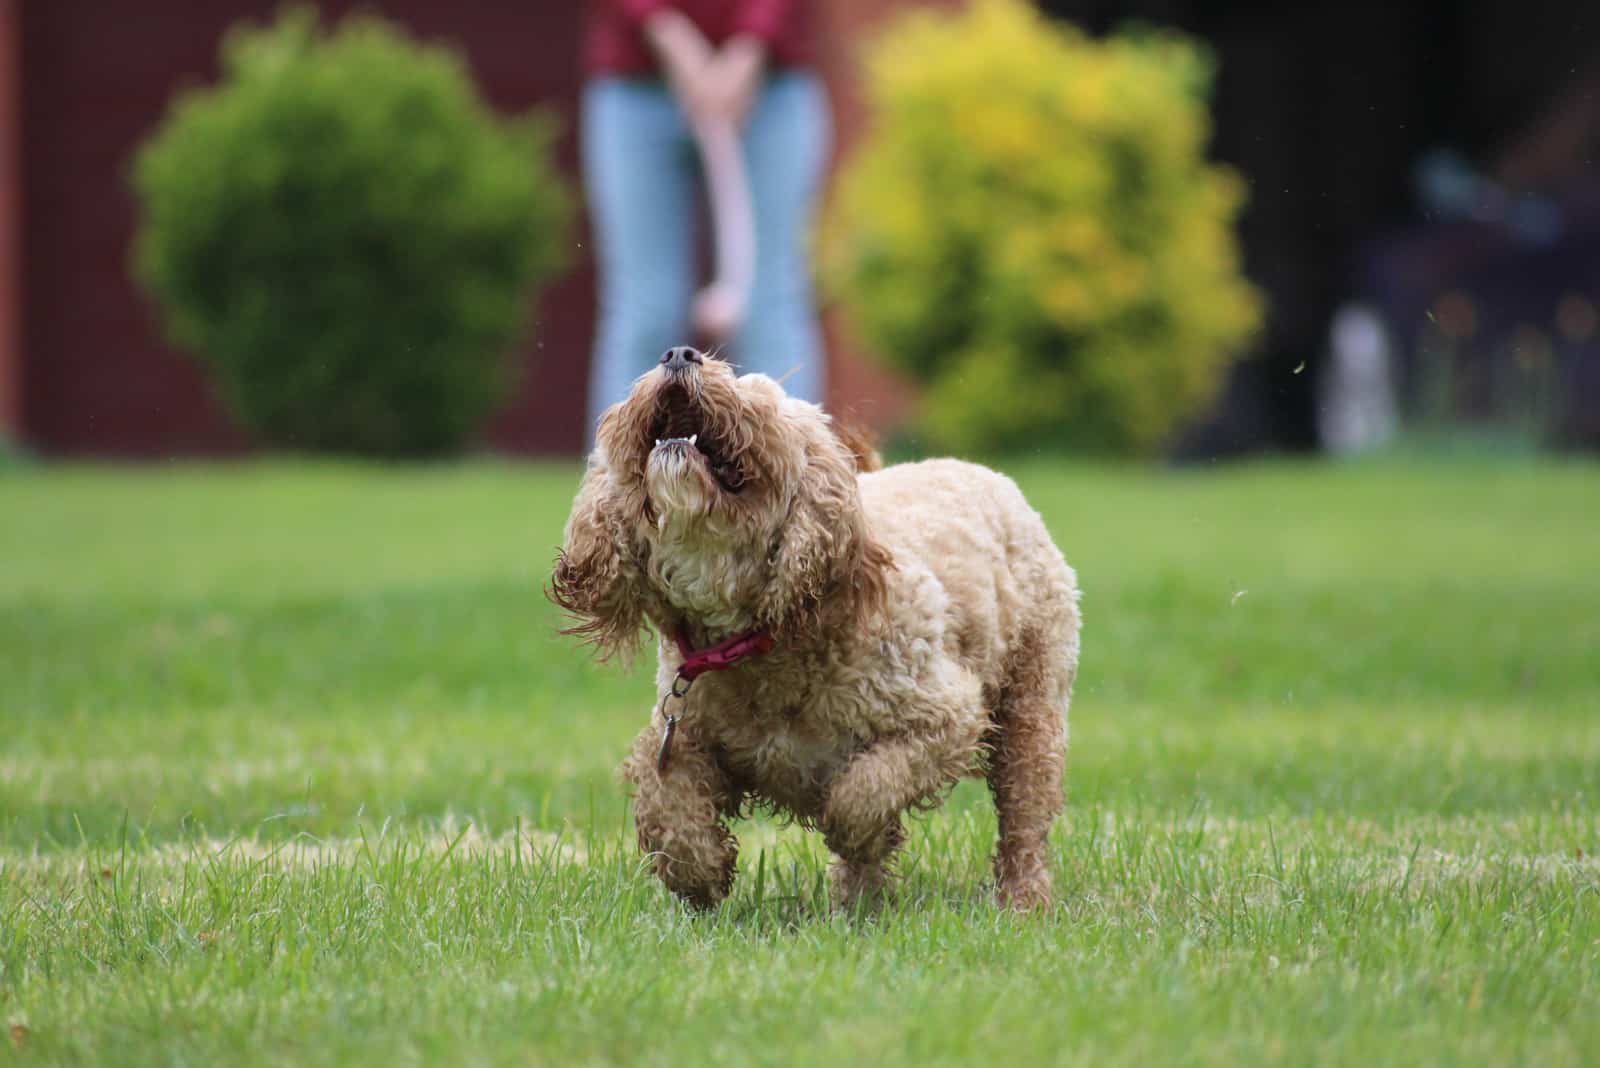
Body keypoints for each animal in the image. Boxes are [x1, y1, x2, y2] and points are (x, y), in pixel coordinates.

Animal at [553, 348, 1088, 908]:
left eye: (755, 396)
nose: (679, 354)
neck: (761, 639)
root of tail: (986, 474)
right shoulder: (682, 735)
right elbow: (667, 799)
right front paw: (701, 873)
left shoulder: (947, 719)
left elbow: (863, 790)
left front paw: (853, 830)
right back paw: (860, 907)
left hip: (1032, 705)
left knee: (1025, 815)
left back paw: (1021, 902)